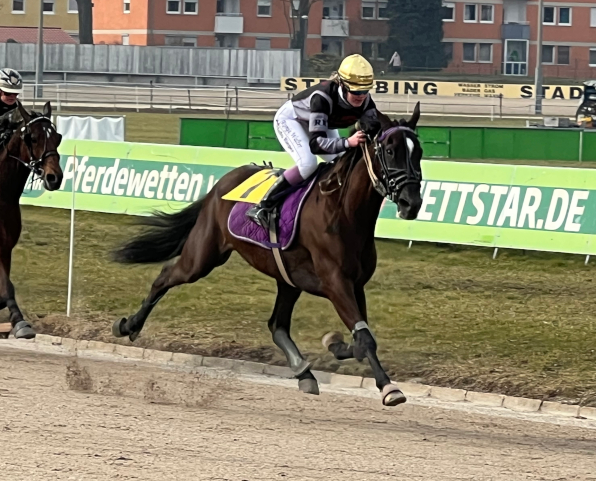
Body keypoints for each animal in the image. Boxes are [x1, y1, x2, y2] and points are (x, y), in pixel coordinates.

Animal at [0, 101, 63, 338]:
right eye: (32, 138)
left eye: (58, 137)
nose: (54, 177)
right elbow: (6, 287)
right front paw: (19, 322)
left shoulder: (5, 248)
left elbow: (6, 287)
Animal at [114, 105, 424, 404]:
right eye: (389, 150)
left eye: (418, 152)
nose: (412, 203)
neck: (344, 212)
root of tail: (222, 183)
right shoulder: (336, 282)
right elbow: (365, 339)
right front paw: (388, 387)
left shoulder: (355, 284)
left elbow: (362, 337)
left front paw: (335, 344)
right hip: (203, 256)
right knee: (167, 276)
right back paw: (128, 325)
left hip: (288, 279)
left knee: (277, 325)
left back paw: (304, 373)